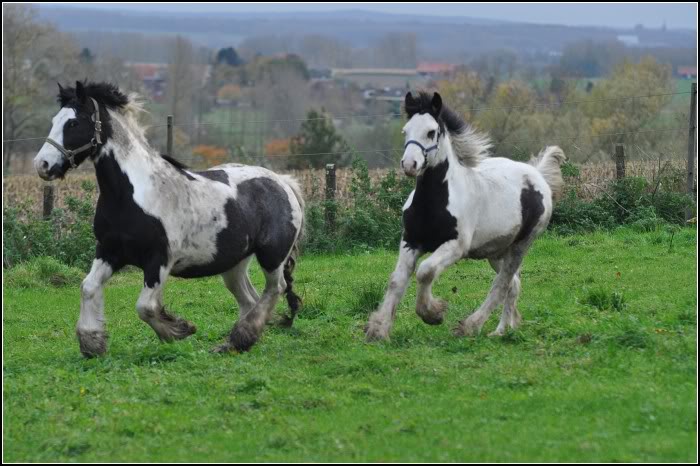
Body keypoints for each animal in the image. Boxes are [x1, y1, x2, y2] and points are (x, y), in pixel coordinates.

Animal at [33, 81, 304, 356]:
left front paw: (180, 330)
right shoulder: (109, 251)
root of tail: (283, 182)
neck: (133, 193)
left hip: (272, 256)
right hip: (234, 265)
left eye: (73, 123)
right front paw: (93, 344)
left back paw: (241, 337)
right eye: (55, 120)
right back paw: (235, 344)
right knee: (250, 299)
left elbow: (146, 307)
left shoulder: (159, 259)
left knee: (275, 289)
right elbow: (88, 287)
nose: (42, 165)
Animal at [364, 91, 568, 340]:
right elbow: (396, 281)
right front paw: (378, 330)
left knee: (501, 285)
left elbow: (425, 271)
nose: (410, 164)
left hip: (520, 246)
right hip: (496, 251)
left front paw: (433, 313)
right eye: (406, 131)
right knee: (513, 284)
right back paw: (502, 330)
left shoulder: (456, 246)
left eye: (431, 132)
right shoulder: (410, 241)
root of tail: (537, 175)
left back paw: (470, 326)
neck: (435, 202)